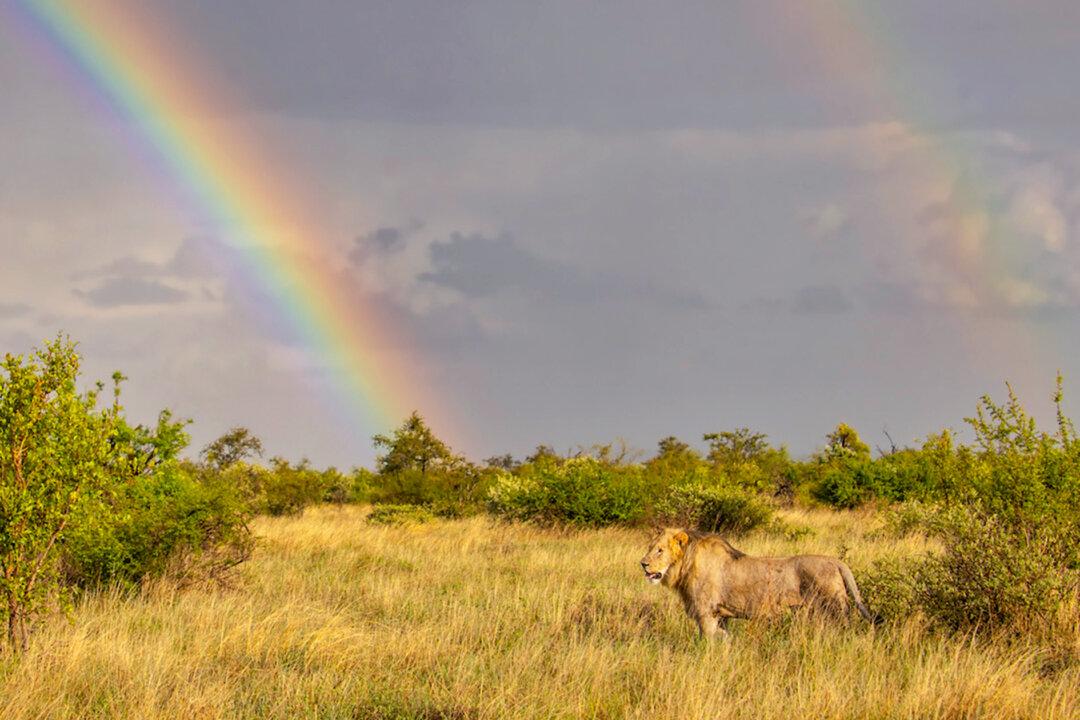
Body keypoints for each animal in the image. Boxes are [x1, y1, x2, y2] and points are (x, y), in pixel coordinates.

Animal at [640, 527, 875, 638]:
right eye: (650, 547)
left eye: (659, 550)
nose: (643, 564)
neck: (685, 566)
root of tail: (836, 561)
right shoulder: (721, 615)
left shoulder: (706, 613)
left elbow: (705, 643)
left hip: (833, 610)